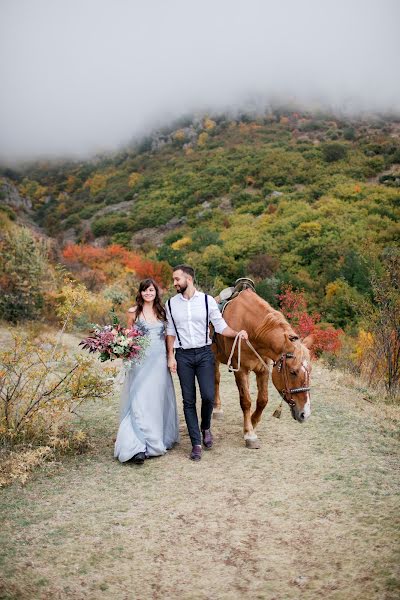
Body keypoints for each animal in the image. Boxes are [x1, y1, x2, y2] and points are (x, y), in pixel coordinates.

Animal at [212, 288, 312, 448]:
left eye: (310, 372)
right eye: (293, 372)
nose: (305, 414)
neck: (252, 328)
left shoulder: (263, 370)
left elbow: (262, 400)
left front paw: (252, 422)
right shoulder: (240, 370)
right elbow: (246, 401)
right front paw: (249, 434)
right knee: (216, 380)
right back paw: (217, 409)